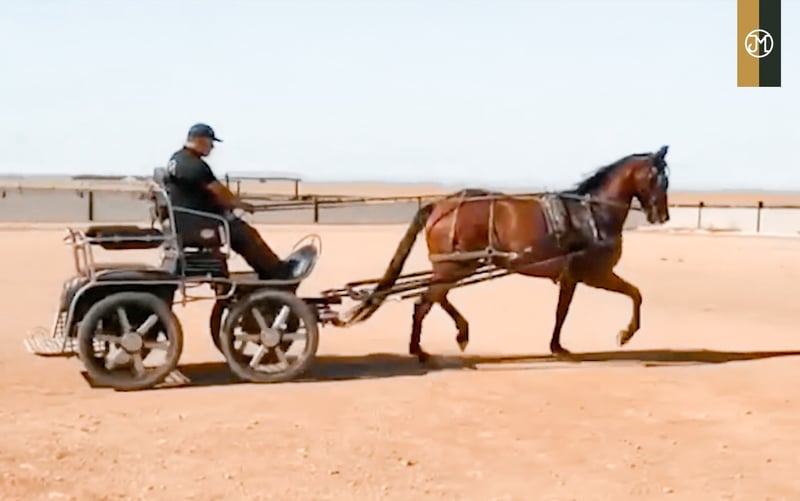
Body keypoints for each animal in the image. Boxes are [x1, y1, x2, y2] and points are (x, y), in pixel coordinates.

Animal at [345, 145, 671, 362]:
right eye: (660, 179)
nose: (663, 216)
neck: (590, 214)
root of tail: (440, 205)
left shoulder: (572, 278)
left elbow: (562, 311)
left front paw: (557, 346)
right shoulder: (596, 274)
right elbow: (635, 295)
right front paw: (625, 334)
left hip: (457, 266)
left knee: (436, 297)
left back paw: (458, 333)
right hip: (455, 266)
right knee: (424, 302)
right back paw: (421, 349)